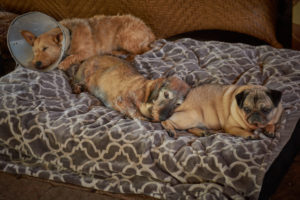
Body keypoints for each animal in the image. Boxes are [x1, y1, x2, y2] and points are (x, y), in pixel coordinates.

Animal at [20, 14, 155, 70]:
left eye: (45, 48)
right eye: (34, 51)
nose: (36, 64)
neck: (70, 34)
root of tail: (149, 31)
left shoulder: (88, 52)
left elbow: (73, 56)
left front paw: (63, 64)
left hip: (125, 36)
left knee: (144, 50)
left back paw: (130, 57)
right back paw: (116, 52)